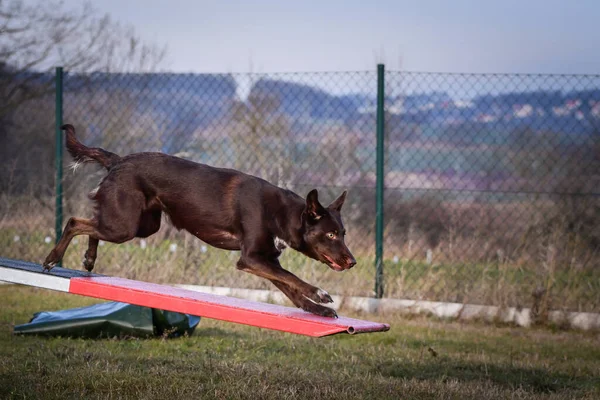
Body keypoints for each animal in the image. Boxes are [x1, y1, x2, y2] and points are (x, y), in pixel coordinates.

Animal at [44, 125, 354, 318]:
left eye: (343, 233)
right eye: (330, 235)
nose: (352, 262)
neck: (280, 212)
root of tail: (119, 160)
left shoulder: (265, 261)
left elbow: (290, 287)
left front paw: (318, 311)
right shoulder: (251, 259)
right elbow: (293, 278)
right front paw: (320, 294)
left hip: (143, 226)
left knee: (94, 224)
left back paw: (88, 259)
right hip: (125, 226)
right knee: (74, 221)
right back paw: (52, 258)